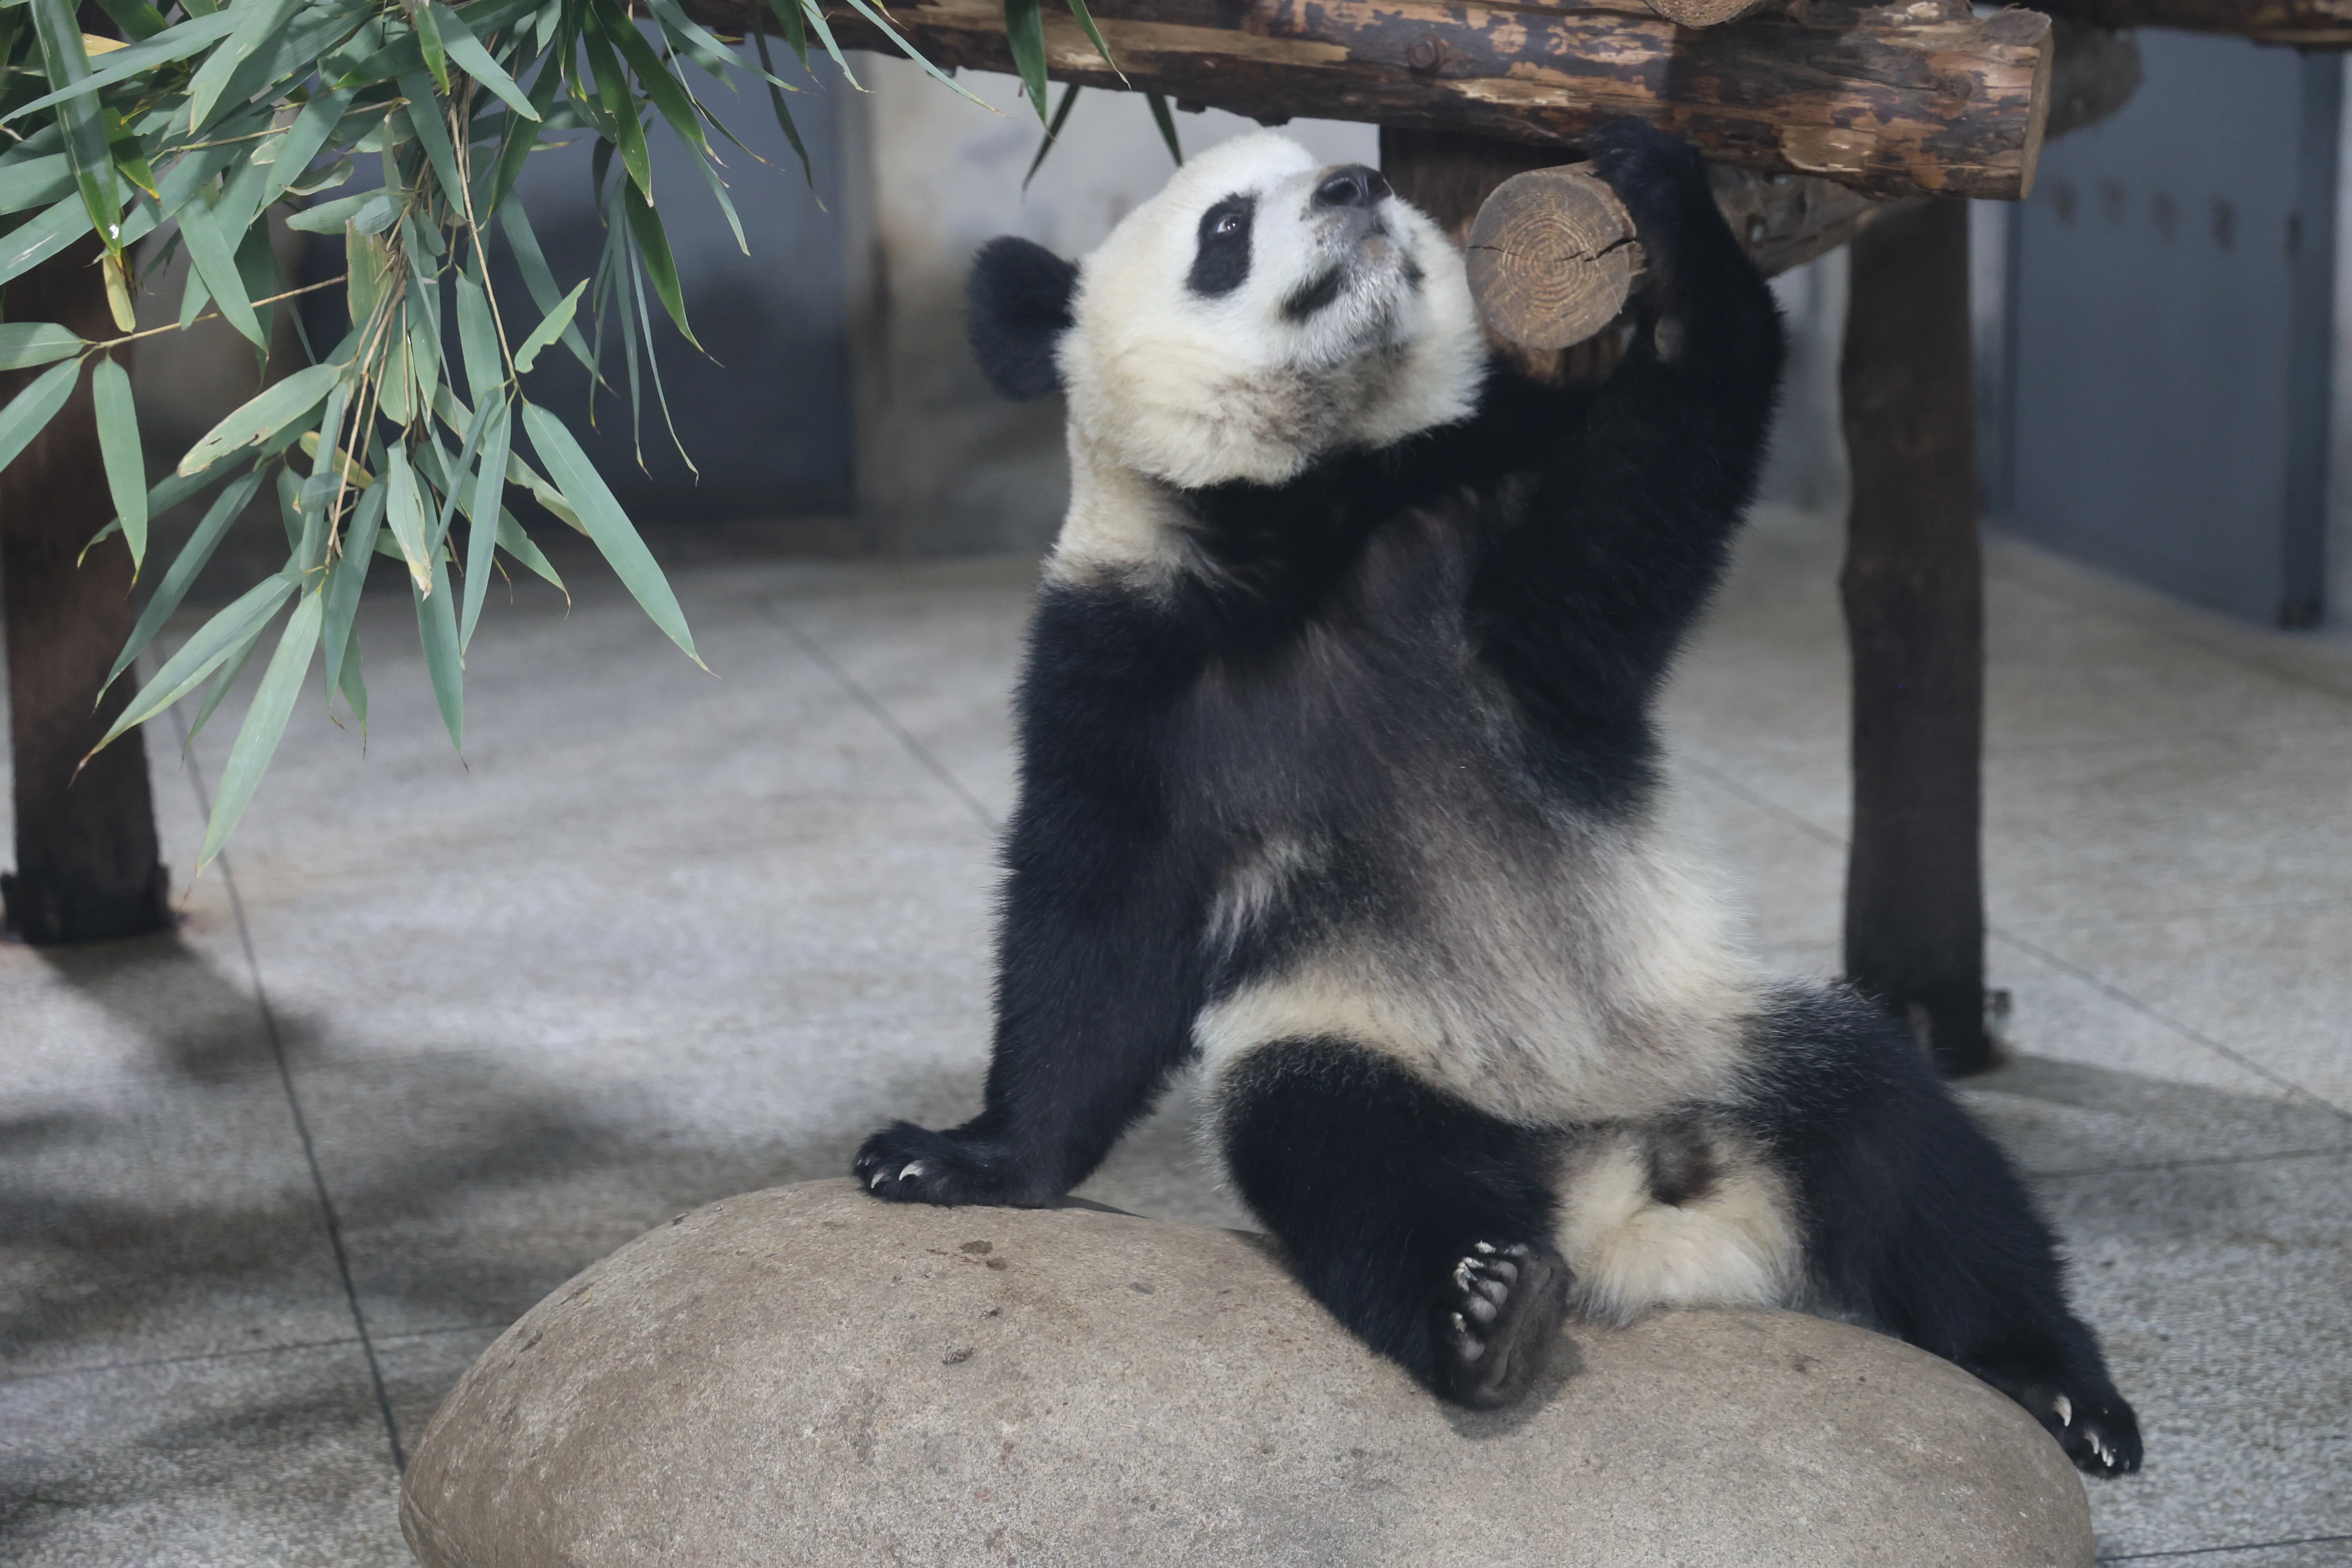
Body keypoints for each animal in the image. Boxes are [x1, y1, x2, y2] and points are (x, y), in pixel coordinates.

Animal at [854, 119, 2142, 1477]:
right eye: (1224, 228)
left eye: (1335, 166)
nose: (1354, 186)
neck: (1308, 525)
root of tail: (1629, 1206)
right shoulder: (1125, 664)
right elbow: (1096, 930)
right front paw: (962, 1158)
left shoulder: (1490, 568)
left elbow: (1651, 485)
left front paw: (1664, 205)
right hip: (1373, 1045)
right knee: (1347, 1160)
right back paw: (1484, 1312)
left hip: (1720, 1033)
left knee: (1909, 1148)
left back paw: (2058, 1385)